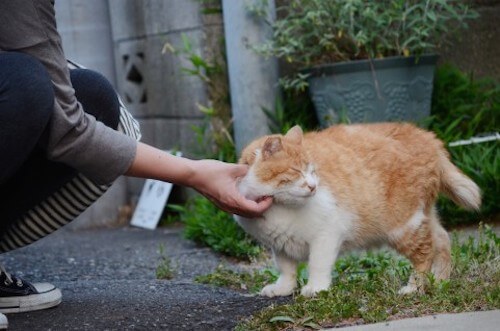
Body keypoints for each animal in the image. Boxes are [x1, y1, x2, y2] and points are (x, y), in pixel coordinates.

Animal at [236, 122, 482, 298]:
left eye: (313, 171)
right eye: (296, 171)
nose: (313, 186)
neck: (280, 209)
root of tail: (428, 138)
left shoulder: (327, 234)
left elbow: (317, 264)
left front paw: (316, 288)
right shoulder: (280, 245)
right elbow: (287, 270)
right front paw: (283, 289)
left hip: (404, 227)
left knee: (425, 254)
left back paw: (414, 288)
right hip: (422, 217)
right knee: (443, 240)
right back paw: (440, 281)